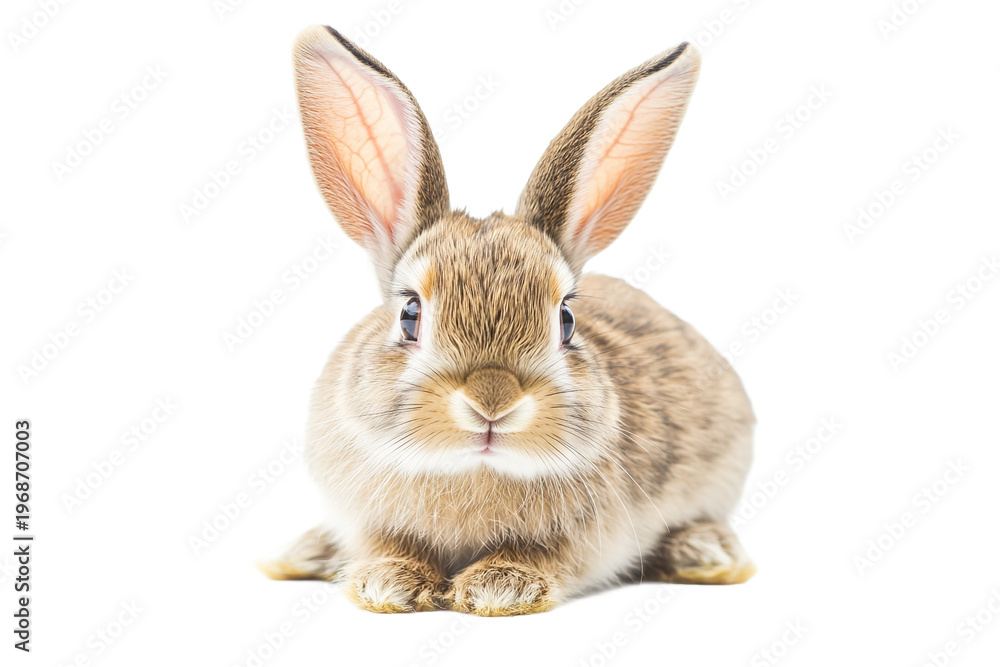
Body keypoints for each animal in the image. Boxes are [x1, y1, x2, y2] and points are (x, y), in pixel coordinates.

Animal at [258, 24, 756, 616]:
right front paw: (388, 583)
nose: (492, 400)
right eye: (409, 314)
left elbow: (546, 557)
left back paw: (704, 553)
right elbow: (387, 546)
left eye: (566, 319)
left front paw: (498, 587)